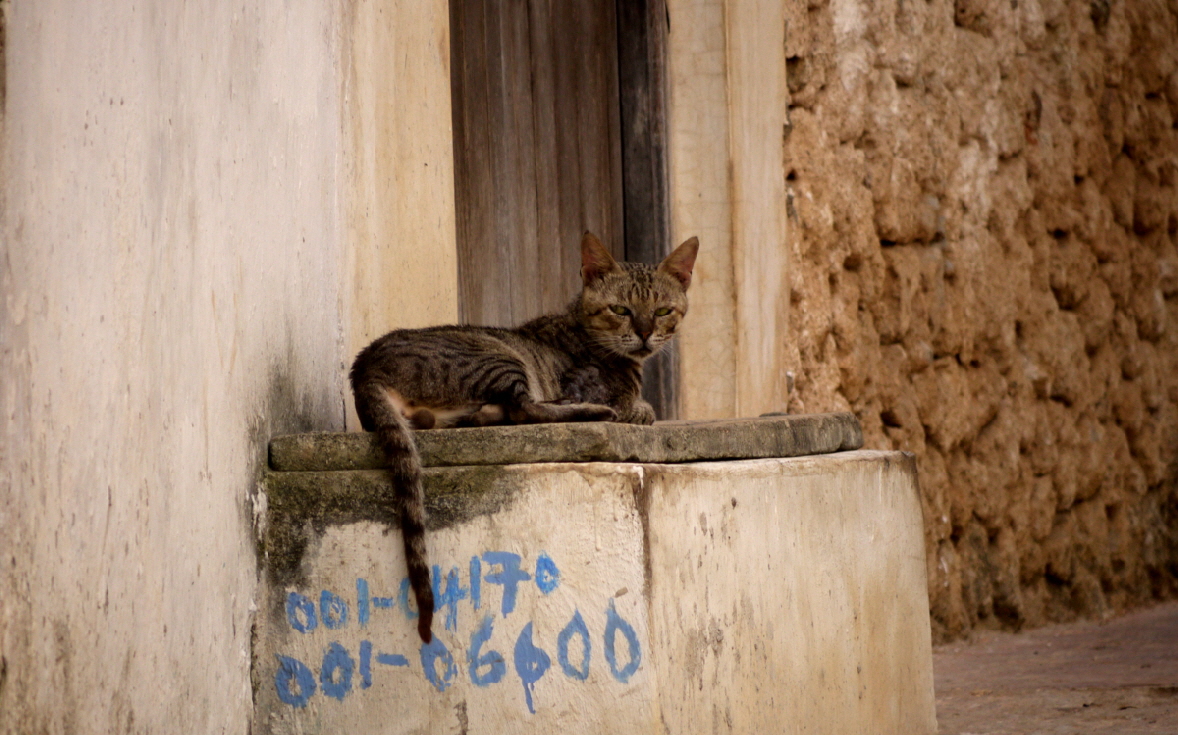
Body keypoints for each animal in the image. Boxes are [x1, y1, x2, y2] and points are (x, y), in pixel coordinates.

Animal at [348, 232, 697, 640]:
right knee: (525, 408)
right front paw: (632, 407)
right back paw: (585, 411)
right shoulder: (595, 387)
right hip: (499, 359)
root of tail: (364, 367)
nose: (644, 334)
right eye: (620, 310)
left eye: (663, 311)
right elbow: (640, 408)